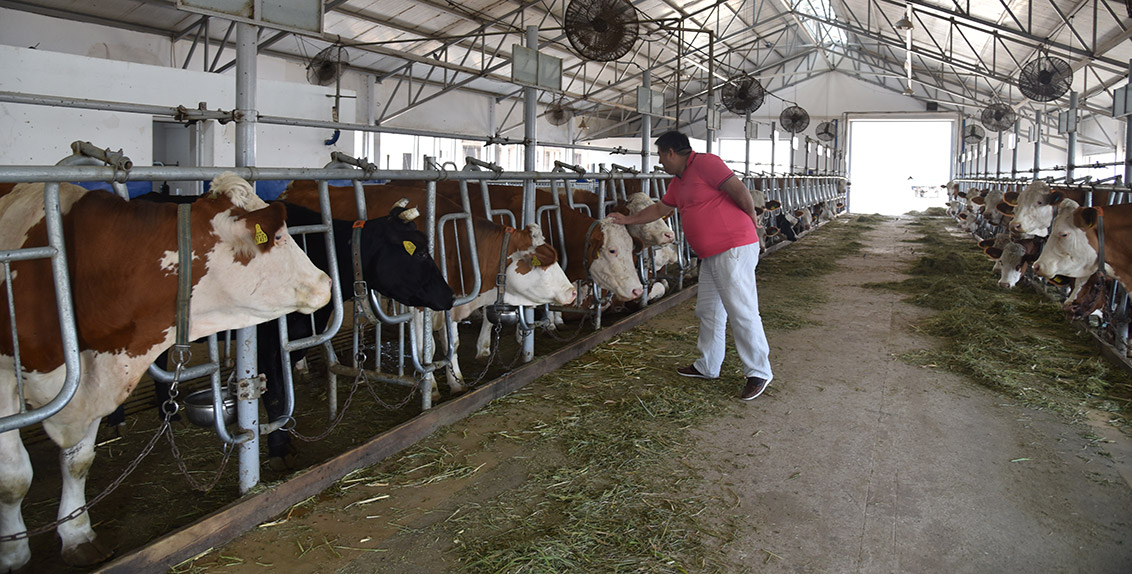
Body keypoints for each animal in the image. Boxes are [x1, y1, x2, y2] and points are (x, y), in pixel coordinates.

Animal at [2, 173, 330, 572]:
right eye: (279, 237)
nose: (326, 283)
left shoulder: (92, 379)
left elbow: (78, 461)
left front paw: (78, 536)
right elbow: (14, 478)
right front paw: (14, 554)